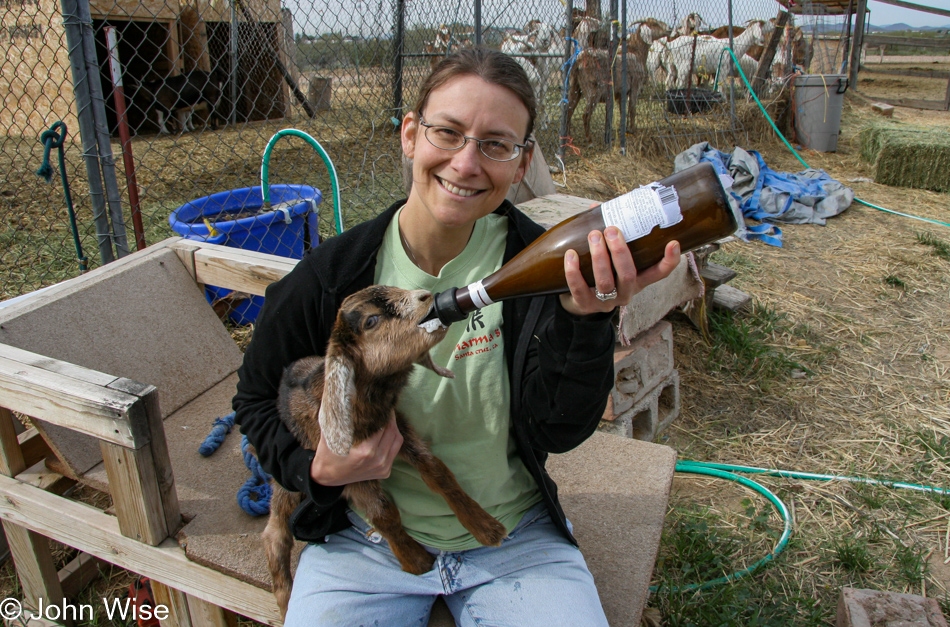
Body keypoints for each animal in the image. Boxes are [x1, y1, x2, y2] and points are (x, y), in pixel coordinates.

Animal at [260, 284, 506, 620]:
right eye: (371, 321)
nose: (426, 296)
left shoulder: (399, 430)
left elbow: (437, 471)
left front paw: (485, 527)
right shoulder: (350, 471)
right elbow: (382, 512)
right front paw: (415, 561)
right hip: (284, 483)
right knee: (275, 533)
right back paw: (284, 603)